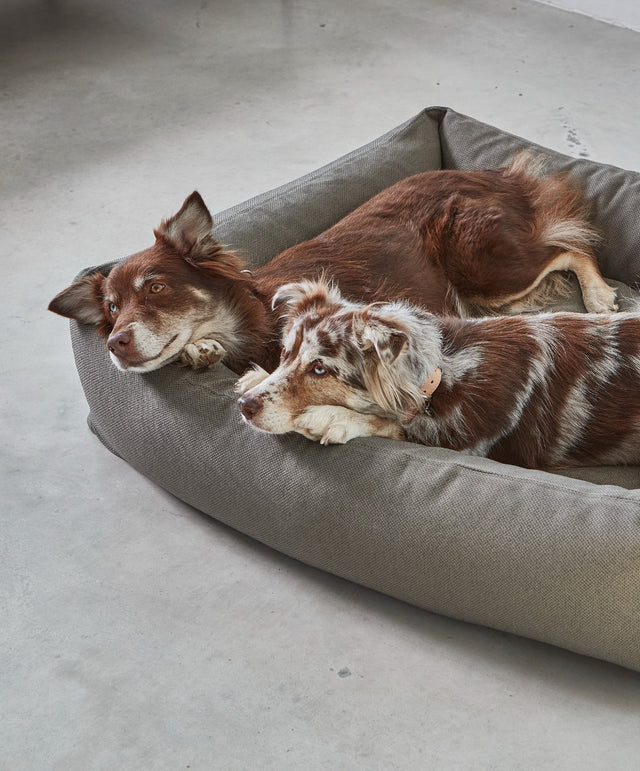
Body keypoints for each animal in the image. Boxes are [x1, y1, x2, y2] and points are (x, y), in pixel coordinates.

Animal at [47, 154, 612, 374]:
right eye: (111, 311)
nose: (116, 344)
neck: (260, 321)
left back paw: (601, 296)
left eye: (157, 288)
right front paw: (202, 349)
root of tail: (489, 175)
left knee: (570, 246)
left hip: (485, 266)